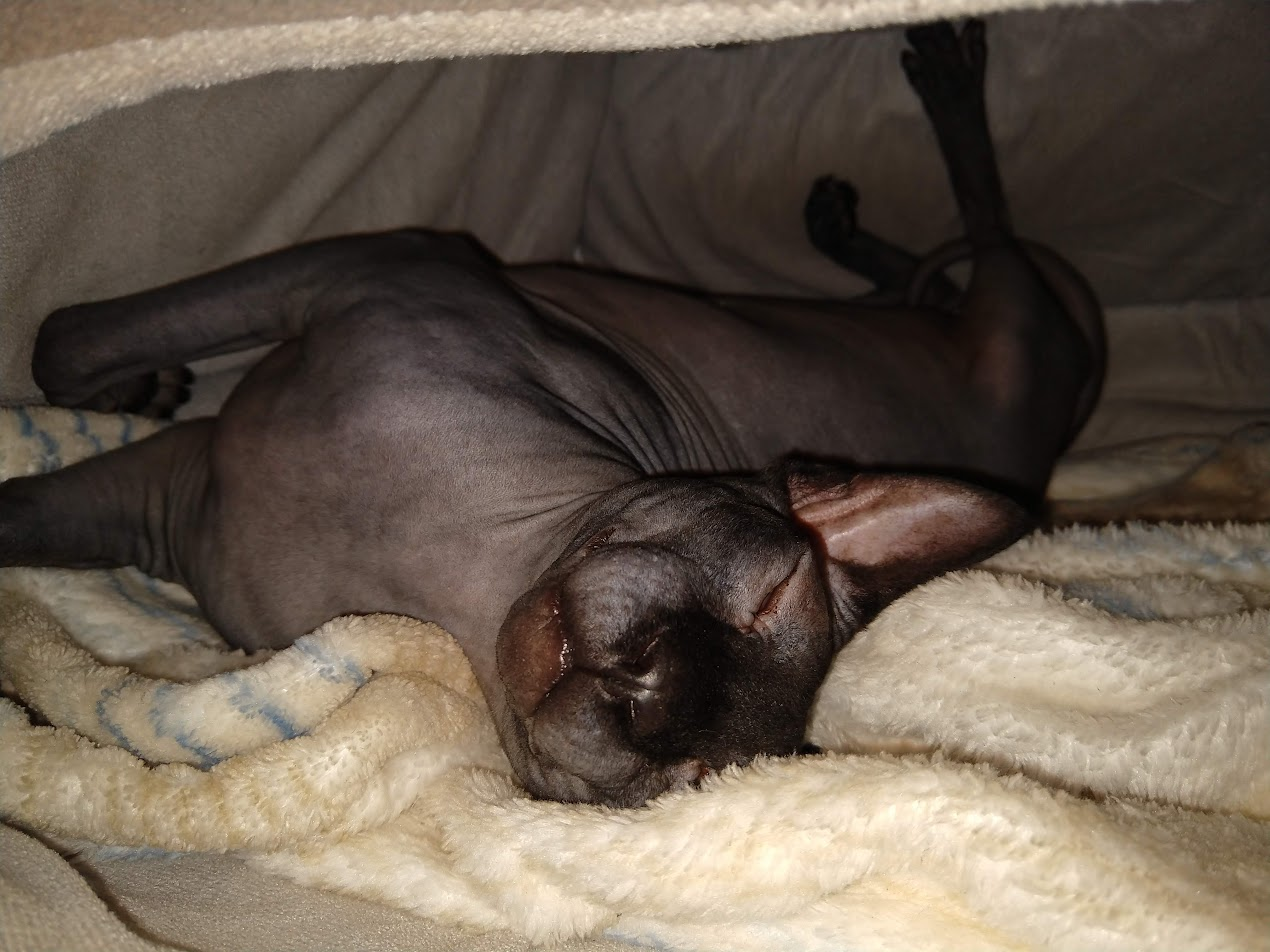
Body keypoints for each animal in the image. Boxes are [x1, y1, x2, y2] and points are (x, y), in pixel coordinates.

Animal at [0, 21, 1103, 806]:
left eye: (686, 774)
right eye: (771, 593)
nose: (648, 693)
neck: (465, 569)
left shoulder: (177, 495)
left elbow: (43, 433)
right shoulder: (369, 268)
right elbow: (65, 343)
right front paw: (123, 381)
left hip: (1012, 343)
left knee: (978, 245)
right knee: (970, 241)